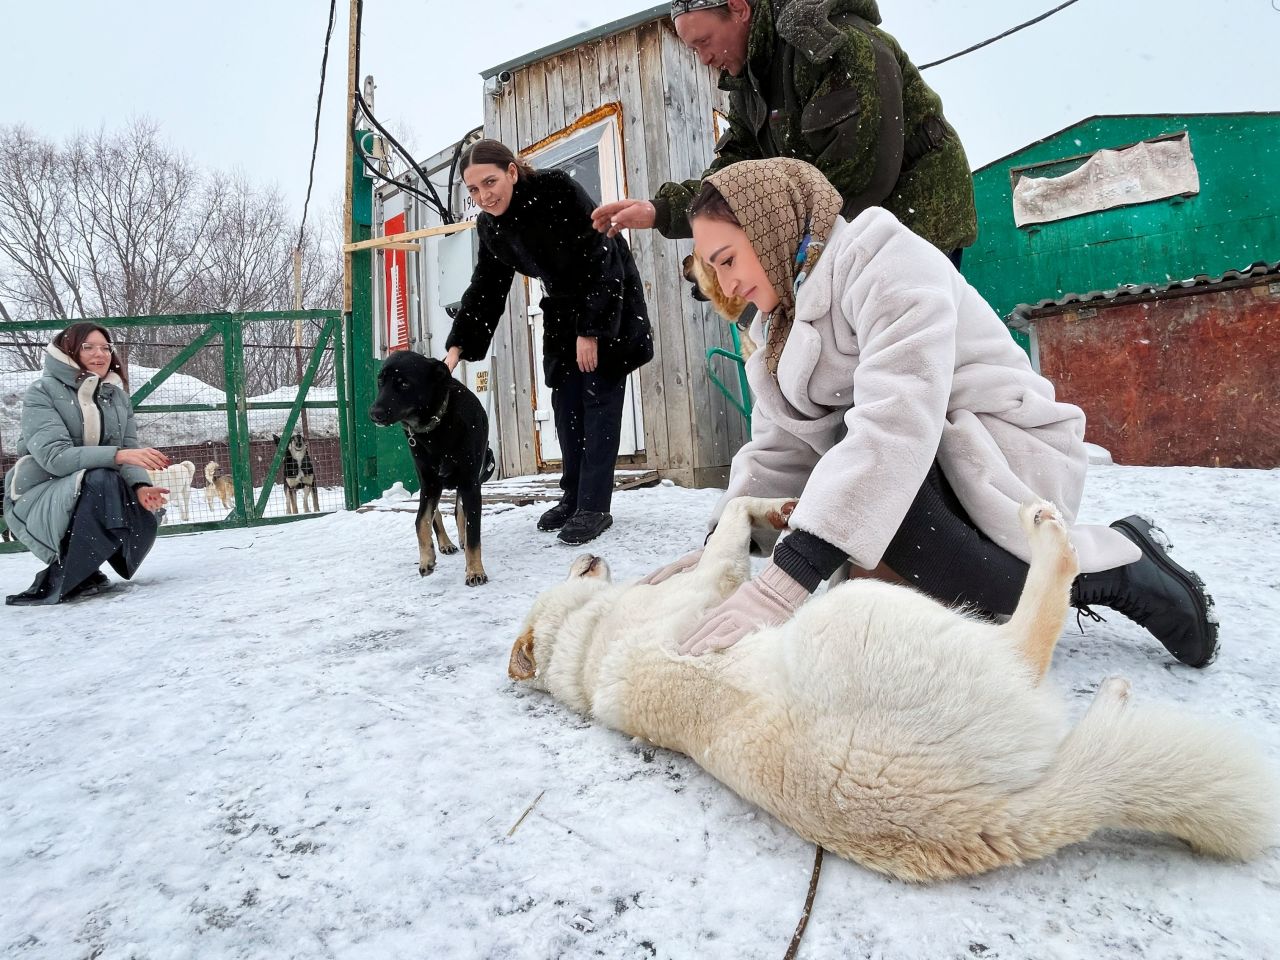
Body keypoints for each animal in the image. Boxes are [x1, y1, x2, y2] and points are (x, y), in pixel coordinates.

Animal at [371, 353, 494, 586]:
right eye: (381, 382)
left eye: (404, 384)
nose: (374, 413)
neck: (436, 426)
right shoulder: (429, 483)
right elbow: (421, 520)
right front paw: (427, 559)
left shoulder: (470, 483)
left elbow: (472, 530)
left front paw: (474, 571)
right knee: (435, 514)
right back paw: (445, 543)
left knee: (459, 512)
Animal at [506, 499, 1269, 885]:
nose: (587, 553)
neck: (586, 642)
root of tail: (969, 822)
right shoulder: (717, 585)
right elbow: (728, 522)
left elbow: (731, 513)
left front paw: (778, 510)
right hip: (877, 616)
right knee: (1032, 638)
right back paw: (1051, 543)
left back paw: (1112, 697)